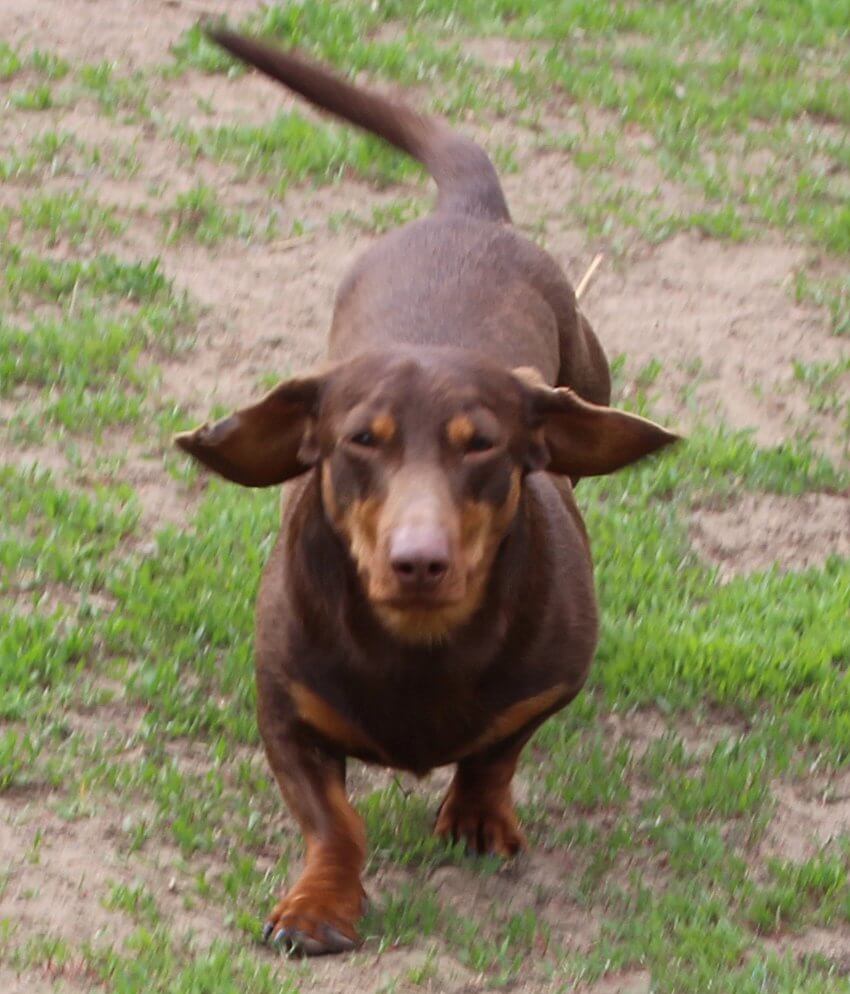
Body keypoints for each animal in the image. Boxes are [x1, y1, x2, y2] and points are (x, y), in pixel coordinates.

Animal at [176, 27, 678, 956]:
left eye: (481, 445)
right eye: (359, 441)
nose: (420, 562)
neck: (418, 645)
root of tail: (468, 216)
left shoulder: (546, 689)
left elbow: (496, 752)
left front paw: (478, 816)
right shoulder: (284, 713)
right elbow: (336, 821)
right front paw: (318, 907)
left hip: (587, 368)